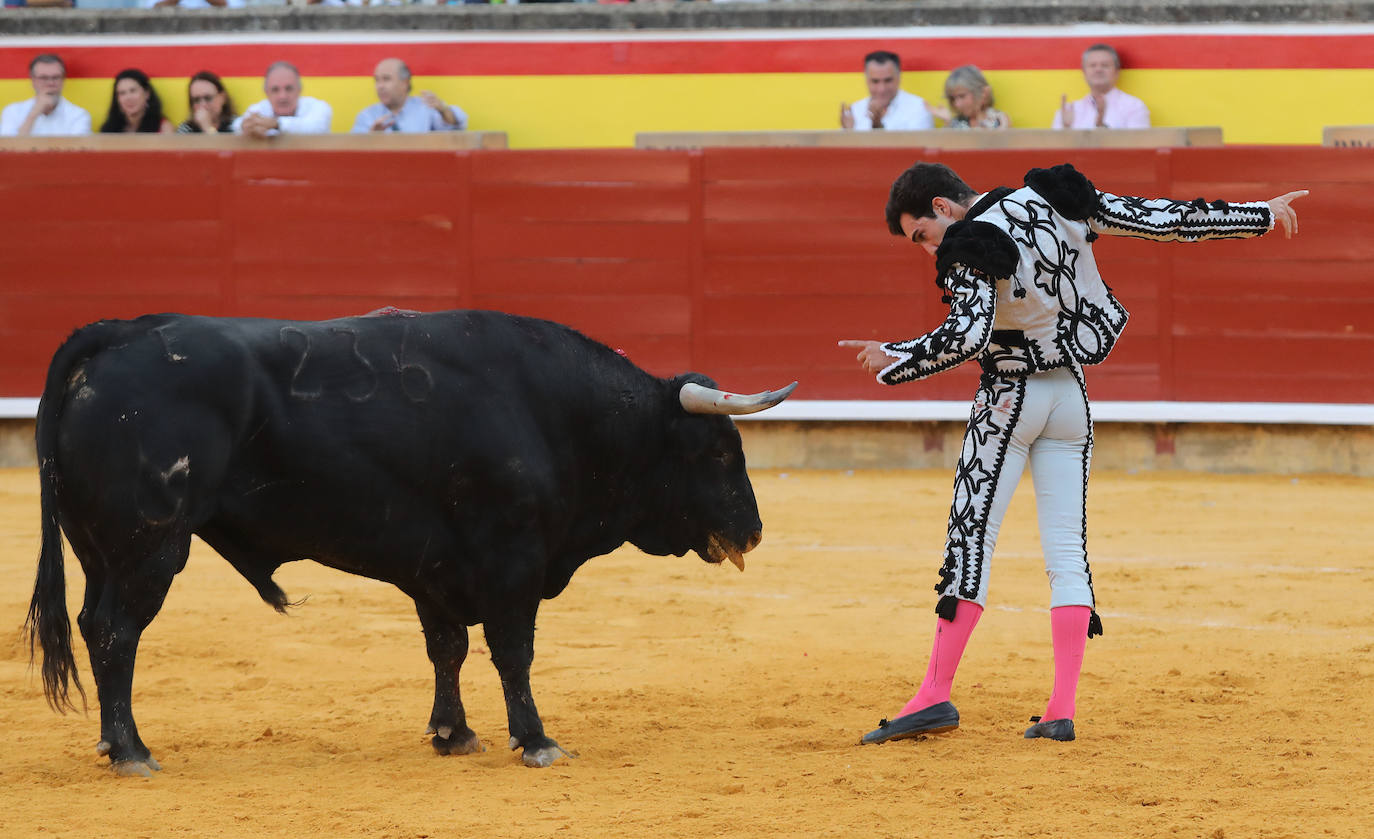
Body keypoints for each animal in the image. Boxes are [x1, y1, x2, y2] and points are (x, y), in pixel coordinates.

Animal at [26, 310, 796, 774]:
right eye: (719, 452)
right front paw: (536, 739)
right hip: (150, 547)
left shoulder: (436, 569)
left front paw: (453, 734)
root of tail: (120, 333)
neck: (553, 411)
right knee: (118, 631)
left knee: (93, 624)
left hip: (98, 551)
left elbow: (447, 648)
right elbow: (512, 652)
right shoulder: (512, 562)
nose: (754, 529)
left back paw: (112, 741)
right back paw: (132, 750)